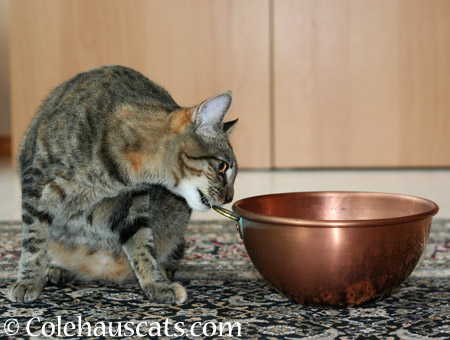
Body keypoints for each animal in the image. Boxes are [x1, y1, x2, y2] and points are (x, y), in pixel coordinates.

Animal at [7, 65, 239, 304]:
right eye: (222, 166)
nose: (230, 197)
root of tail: (101, 271)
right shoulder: (38, 181)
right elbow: (34, 240)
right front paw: (28, 281)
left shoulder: (133, 202)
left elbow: (143, 244)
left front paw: (156, 283)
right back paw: (56, 269)